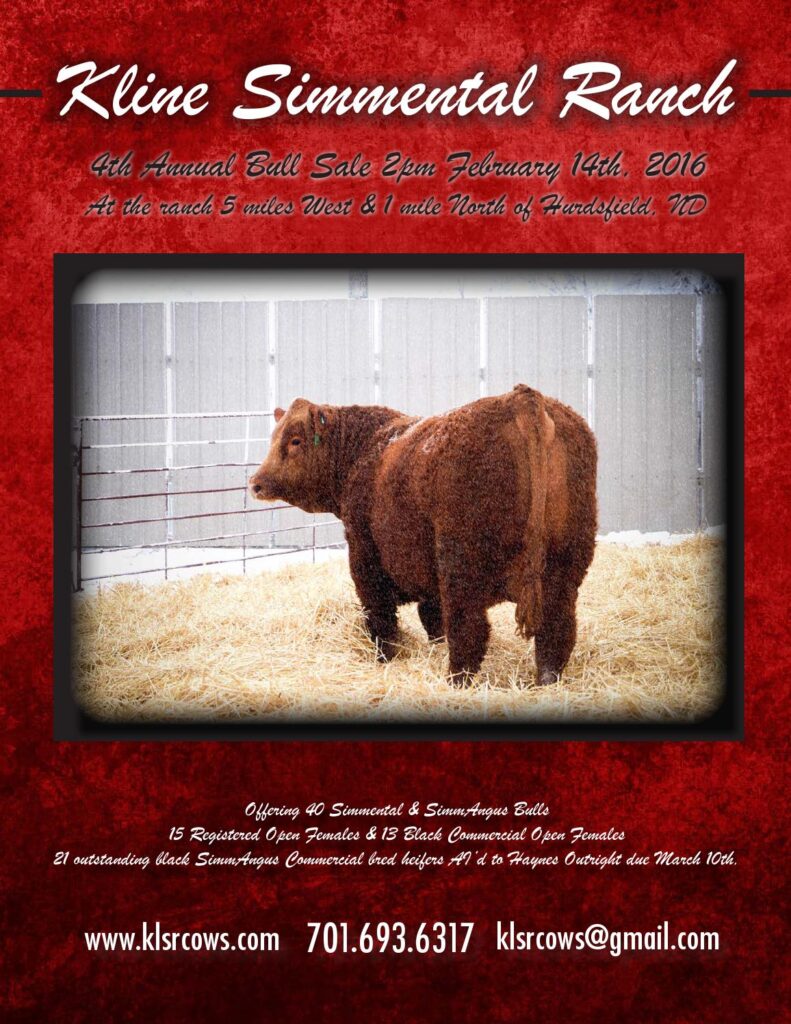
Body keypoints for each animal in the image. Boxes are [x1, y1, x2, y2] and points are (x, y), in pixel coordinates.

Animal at [249, 385, 597, 686]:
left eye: (295, 440)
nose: (255, 483)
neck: (364, 449)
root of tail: (520, 397)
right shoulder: (429, 578)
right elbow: (432, 619)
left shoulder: (364, 557)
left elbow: (382, 619)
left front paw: (386, 660)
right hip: (564, 571)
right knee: (556, 632)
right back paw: (546, 682)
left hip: (461, 569)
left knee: (469, 631)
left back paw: (455, 681)